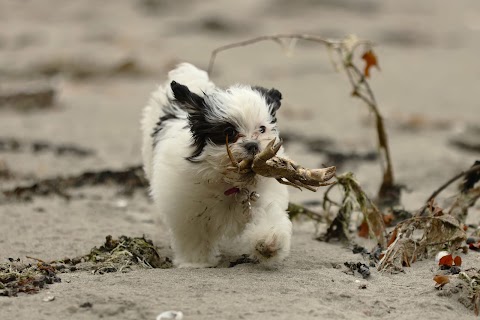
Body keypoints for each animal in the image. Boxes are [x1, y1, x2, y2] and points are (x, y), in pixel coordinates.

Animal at [142, 62, 292, 268]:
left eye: (262, 129)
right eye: (229, 131)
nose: (253, 145)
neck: (229, 183)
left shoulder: (263, 195)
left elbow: (267, 214)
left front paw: (269, 243)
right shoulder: (186, 208)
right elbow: (193, 234)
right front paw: (196, 262)